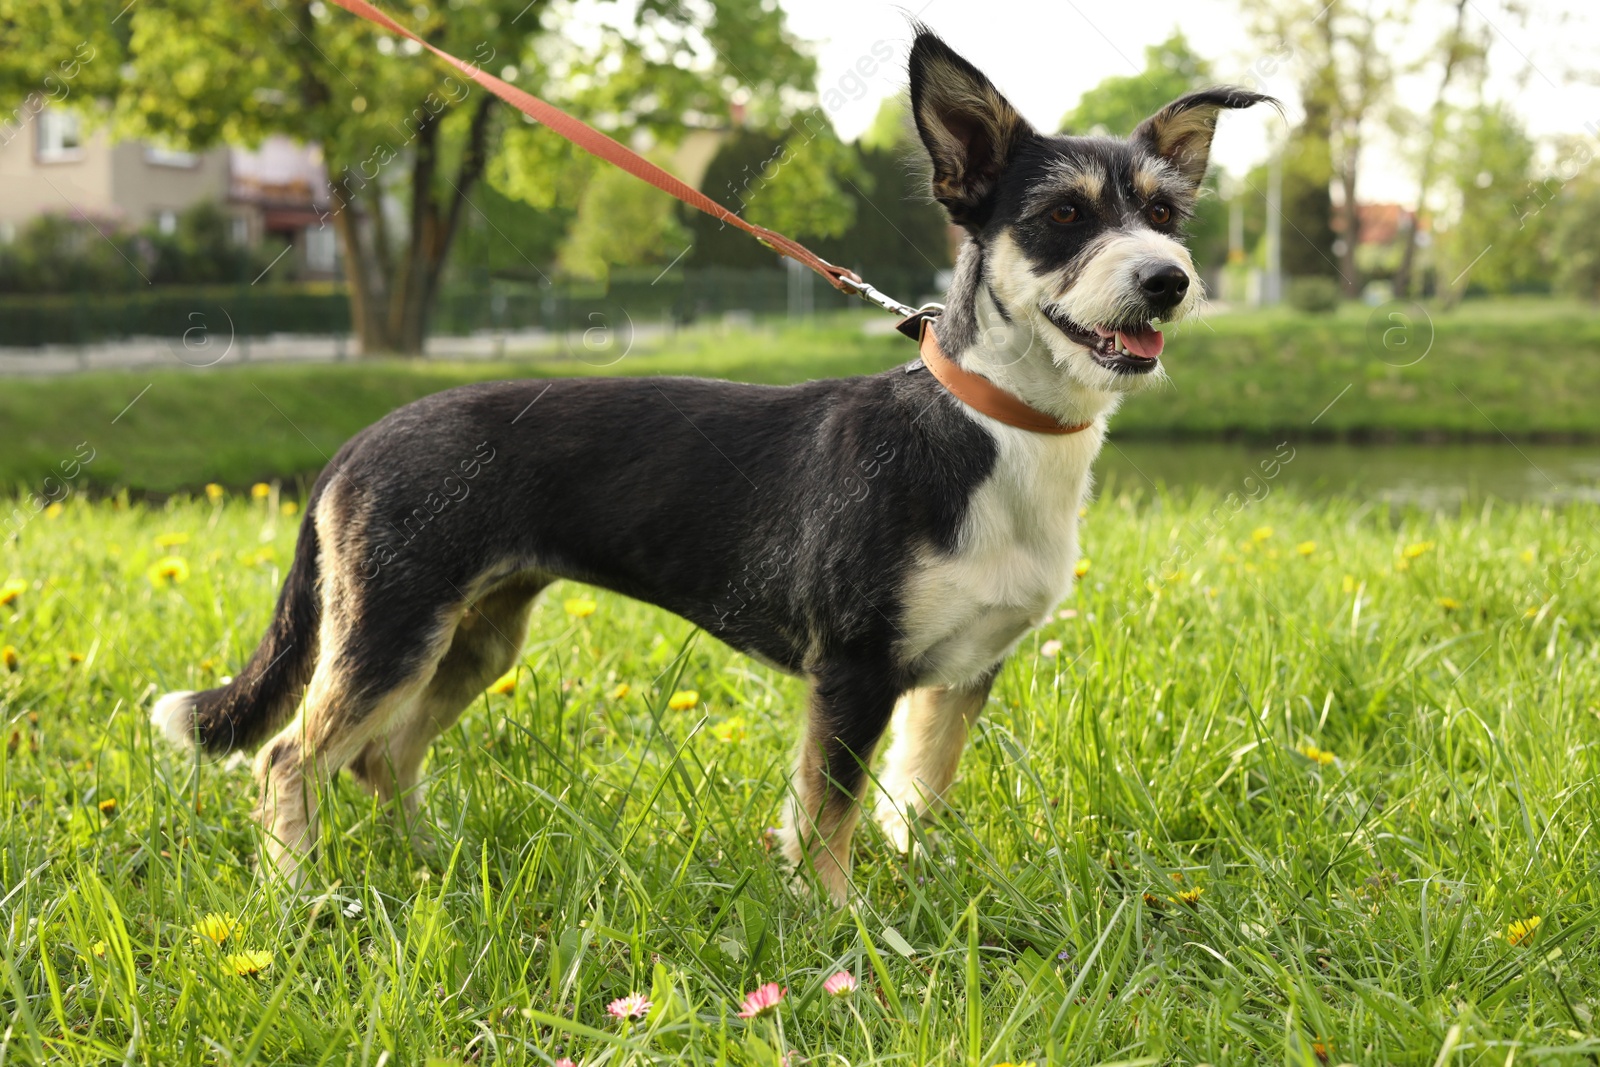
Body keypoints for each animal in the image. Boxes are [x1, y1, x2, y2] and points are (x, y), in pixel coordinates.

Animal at [152, 29, 1273, 902]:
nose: (1168, 281)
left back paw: (432, 866)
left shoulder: (957, 678)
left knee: (381, 756)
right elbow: (827, 814)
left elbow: (915, 800)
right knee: (290, 756)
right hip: (390, 630)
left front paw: (921, 887)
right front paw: (839, 925)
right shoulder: (852, 669)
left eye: (1166, 216)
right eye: (1062, 217)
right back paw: (301, 893)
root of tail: (362, 436)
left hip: (474, 637)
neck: (992, 428)